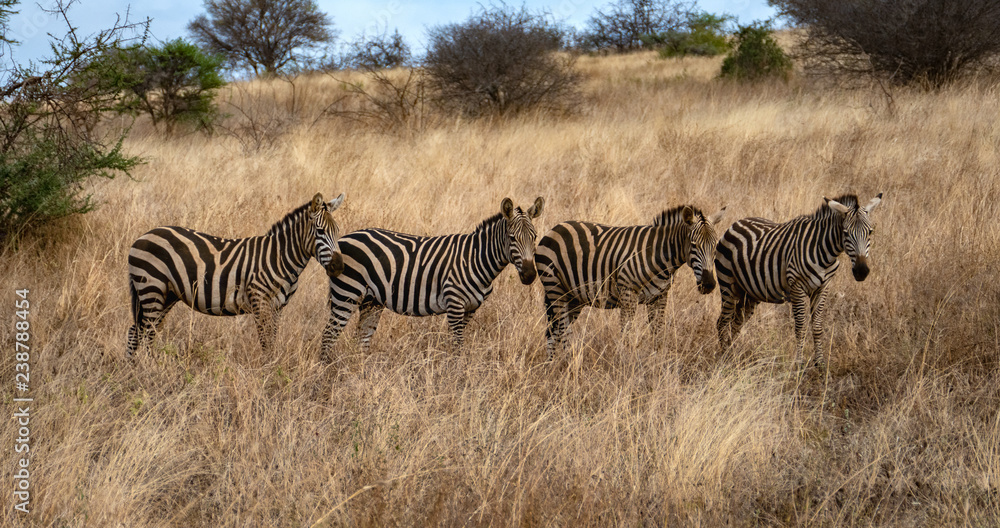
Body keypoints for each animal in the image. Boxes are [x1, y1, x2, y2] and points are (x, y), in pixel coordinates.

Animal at [127, 192, 346, 356]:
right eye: (320, 231)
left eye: (337, 231)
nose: (339, 266)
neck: (279, 258)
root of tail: (142, 237)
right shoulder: (260, 302)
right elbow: (266, 343)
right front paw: (267, 375)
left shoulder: (277, 307)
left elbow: (273, 342)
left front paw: (273, 369)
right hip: (152, 289)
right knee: (145, 333)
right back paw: (148, 369)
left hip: (167, 295)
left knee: (136, 332)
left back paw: (134, 370)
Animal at [320, 197, 544, 360]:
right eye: (512, 238)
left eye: (534, 237)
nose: (530, 275)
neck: (474, 258)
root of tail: (342, 239)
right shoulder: (455, 304)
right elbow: (457, 347)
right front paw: (457, 379)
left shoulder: (471, 308)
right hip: (347, 293)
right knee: (328, 336)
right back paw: (326, 375)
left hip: (371, 300)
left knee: (361, 339)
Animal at [535, 205, 727, 360]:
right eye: (694, 245)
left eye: (715, 246)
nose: (709, 284)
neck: (658, 255)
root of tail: (555, 229)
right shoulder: (628, 294)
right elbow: (627, 333)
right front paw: (626, 363)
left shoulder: (660, 296)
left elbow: (658, 333)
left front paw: (657, 363)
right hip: (555, 289)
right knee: (562, 330)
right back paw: (568, 364)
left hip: (574, 297)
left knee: (554, 331)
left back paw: (553, 366)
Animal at [715, 193, 883, 368]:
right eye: (846, 233)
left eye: (870, 232)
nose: (861, 272)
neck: (824, 252)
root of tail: (736, 223)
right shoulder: (797, 287)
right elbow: (800, 326)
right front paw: (799, 363)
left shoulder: (823, 288)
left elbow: (817, 325)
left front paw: (820, 363)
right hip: (727, 283)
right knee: (723, 321)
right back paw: (725, 358)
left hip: (750, 292)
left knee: (736, 322)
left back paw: (734, 355)